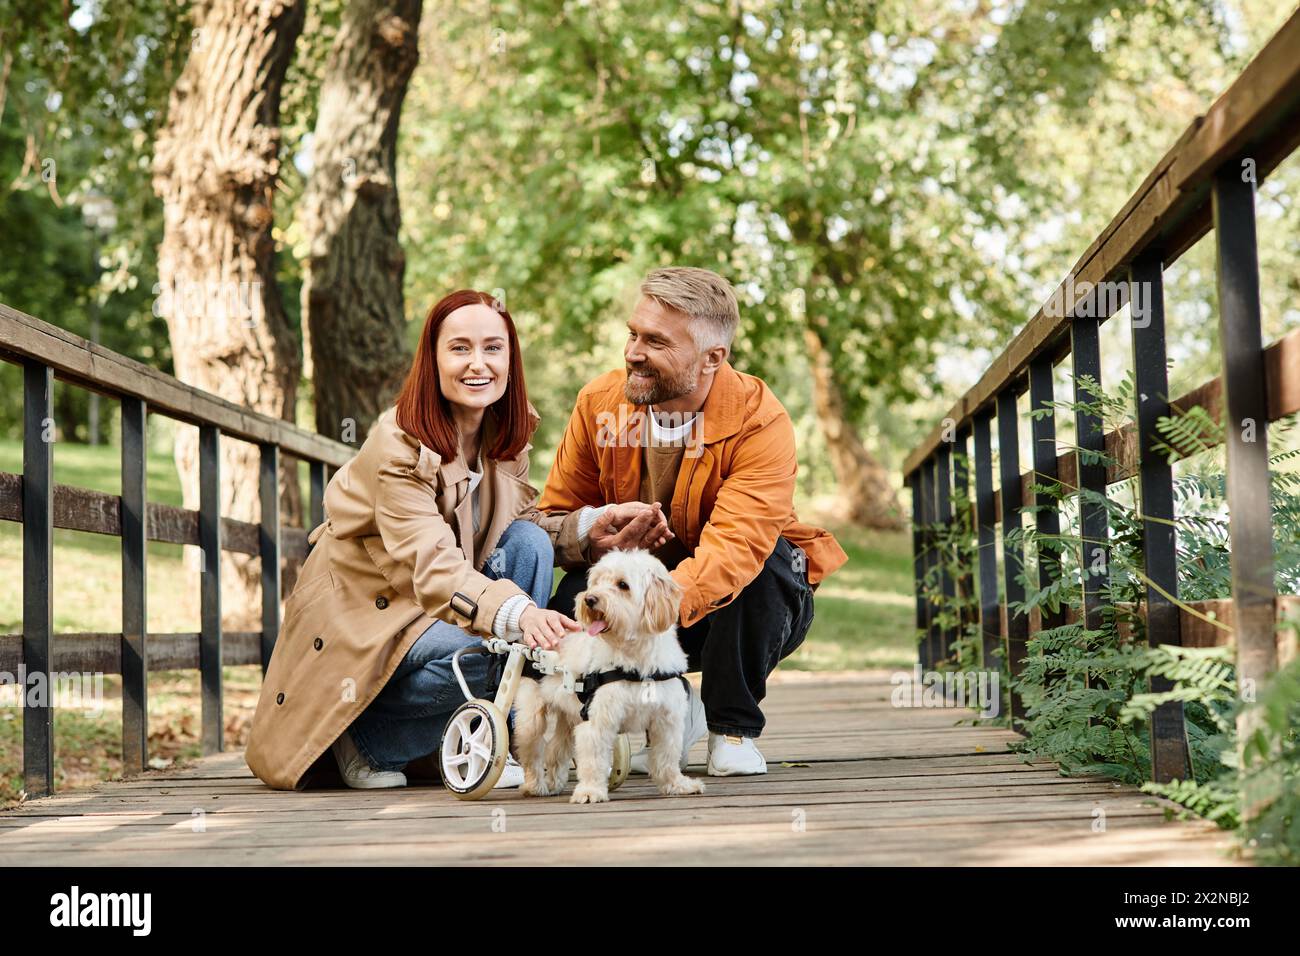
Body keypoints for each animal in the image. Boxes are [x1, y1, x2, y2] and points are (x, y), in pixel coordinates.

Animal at [512, 548, 707, 806]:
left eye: (622, 585)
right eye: (596, 582)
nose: (589, 599)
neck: (634, 660)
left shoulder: (667, 720)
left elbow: (667, 756)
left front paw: (676, 785)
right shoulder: (598, 719)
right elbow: (593, 759)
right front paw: (590, 791)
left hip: (568, 715)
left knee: (556, 749)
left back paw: (553, 782)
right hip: (532, 718)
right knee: (532, 751)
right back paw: (535, 785)